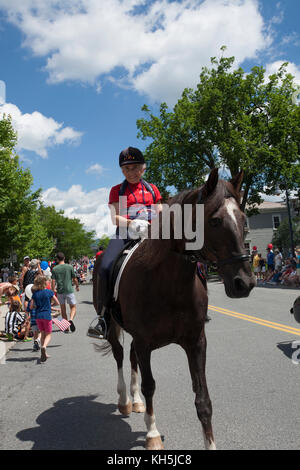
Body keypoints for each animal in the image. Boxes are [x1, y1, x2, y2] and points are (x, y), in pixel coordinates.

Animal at [92, 170, 254, 452]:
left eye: (244, 219)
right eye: (214, 221)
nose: (244, 283)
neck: (168, 281)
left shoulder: (196, 342)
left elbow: (203, 399)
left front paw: (210, 443)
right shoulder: (145, 342)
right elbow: (150, 385)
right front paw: (152, 434)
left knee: (130, 357)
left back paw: (135, 401)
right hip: (112, 327)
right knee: (120, 355)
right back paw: (125, 400)